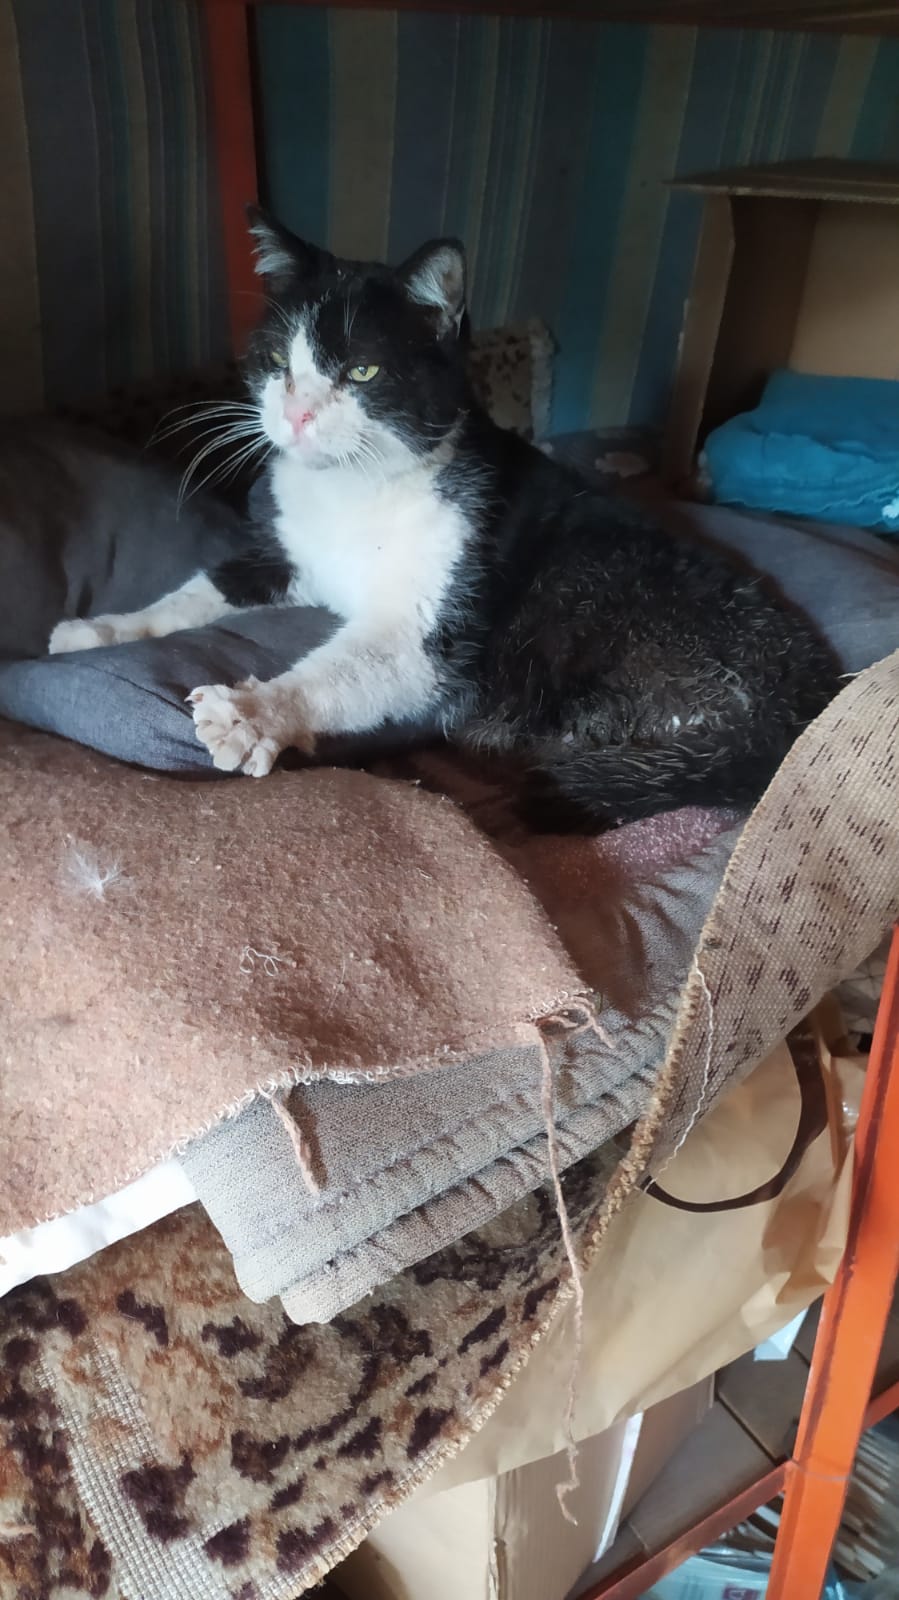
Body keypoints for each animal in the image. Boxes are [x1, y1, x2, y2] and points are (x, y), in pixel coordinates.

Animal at [48, 207, 841, 830]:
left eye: (362, 372)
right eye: (277, 360)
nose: (296, 414)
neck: (353, 492)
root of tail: (802, 708)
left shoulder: (429, 633)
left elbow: (347, 666)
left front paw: (255, 712)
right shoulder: (285, 556)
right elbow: (195, 591)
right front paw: (96, 631)